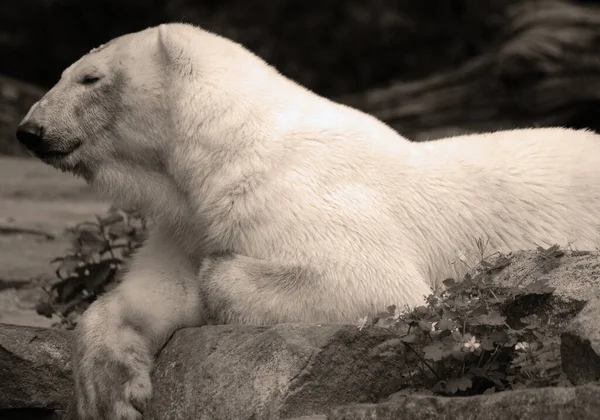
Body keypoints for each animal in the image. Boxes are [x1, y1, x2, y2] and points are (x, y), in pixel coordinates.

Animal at [16, 23, 600, 420]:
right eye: (67, 73)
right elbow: (149, 294)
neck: (229, 149)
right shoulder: (189, 221)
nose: (29, 130)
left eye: (89, 77)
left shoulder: (299, 193)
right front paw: (113, 394)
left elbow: (377, 285)